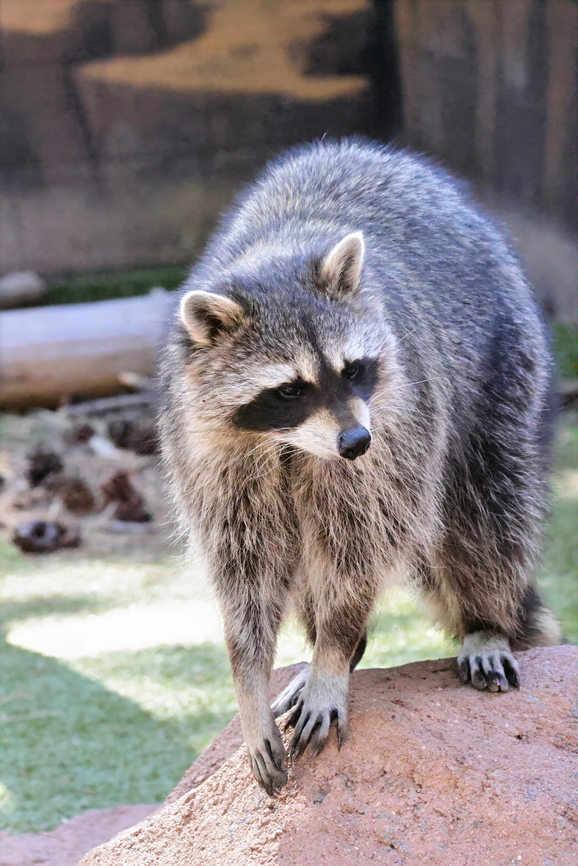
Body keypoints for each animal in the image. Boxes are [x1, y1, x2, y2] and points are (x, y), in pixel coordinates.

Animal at [158, 139, 562, 796]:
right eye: (290, 389)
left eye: (352, 369)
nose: (354, 441)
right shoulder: (209, 453)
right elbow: (246, 566)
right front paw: (250, 676)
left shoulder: (396, 430)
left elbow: (361, 544)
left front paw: (335, 649)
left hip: (502, 366)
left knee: (485, 509)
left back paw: (483, 619)